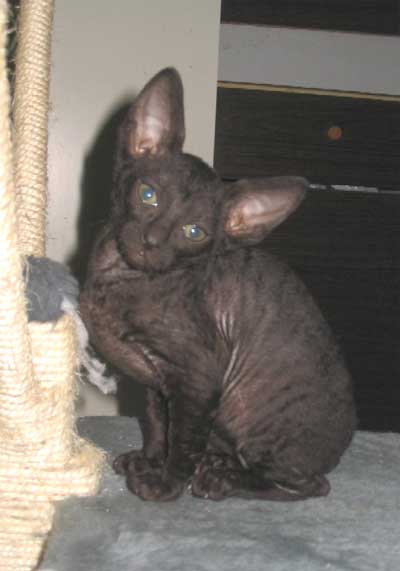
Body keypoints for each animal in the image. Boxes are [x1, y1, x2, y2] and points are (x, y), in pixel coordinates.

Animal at [80, 68, 356, 502]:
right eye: (148, 195)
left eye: (194, 232)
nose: (152, 241)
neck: (119, 273)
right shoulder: (158, 383)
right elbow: (158, 425)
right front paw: (149, 460)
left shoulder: (196, 378)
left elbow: (183, 439)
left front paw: (164, 484)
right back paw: (216, 462)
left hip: (255, 420)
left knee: (309, 485)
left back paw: (220, 479)